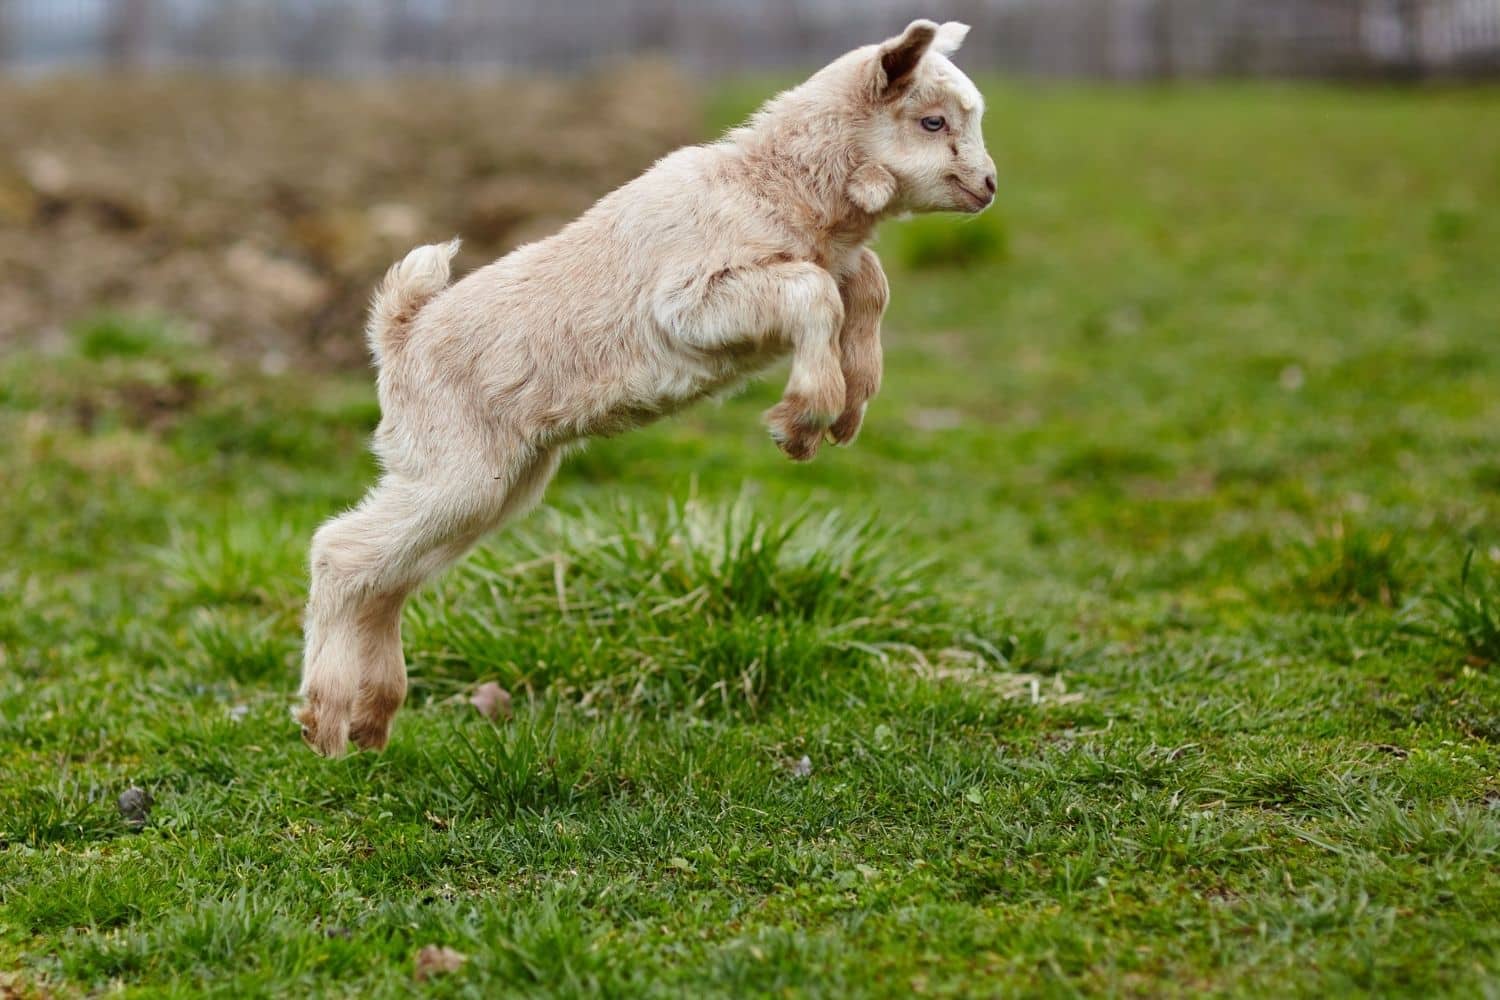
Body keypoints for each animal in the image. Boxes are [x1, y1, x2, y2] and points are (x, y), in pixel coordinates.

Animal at [295, 19, 996, 755]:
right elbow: (814, 292)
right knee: (340, 553)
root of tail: (400, 334)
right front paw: (803, 421)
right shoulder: (689, 302)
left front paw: (851, 403)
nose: (989, 185)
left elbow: (866, 285)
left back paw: (369, 718)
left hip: (497, 482)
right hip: (454, 465)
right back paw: (326, 720)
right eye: (932, 121)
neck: (774, 185)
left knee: (387, 577)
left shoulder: (831, 263)